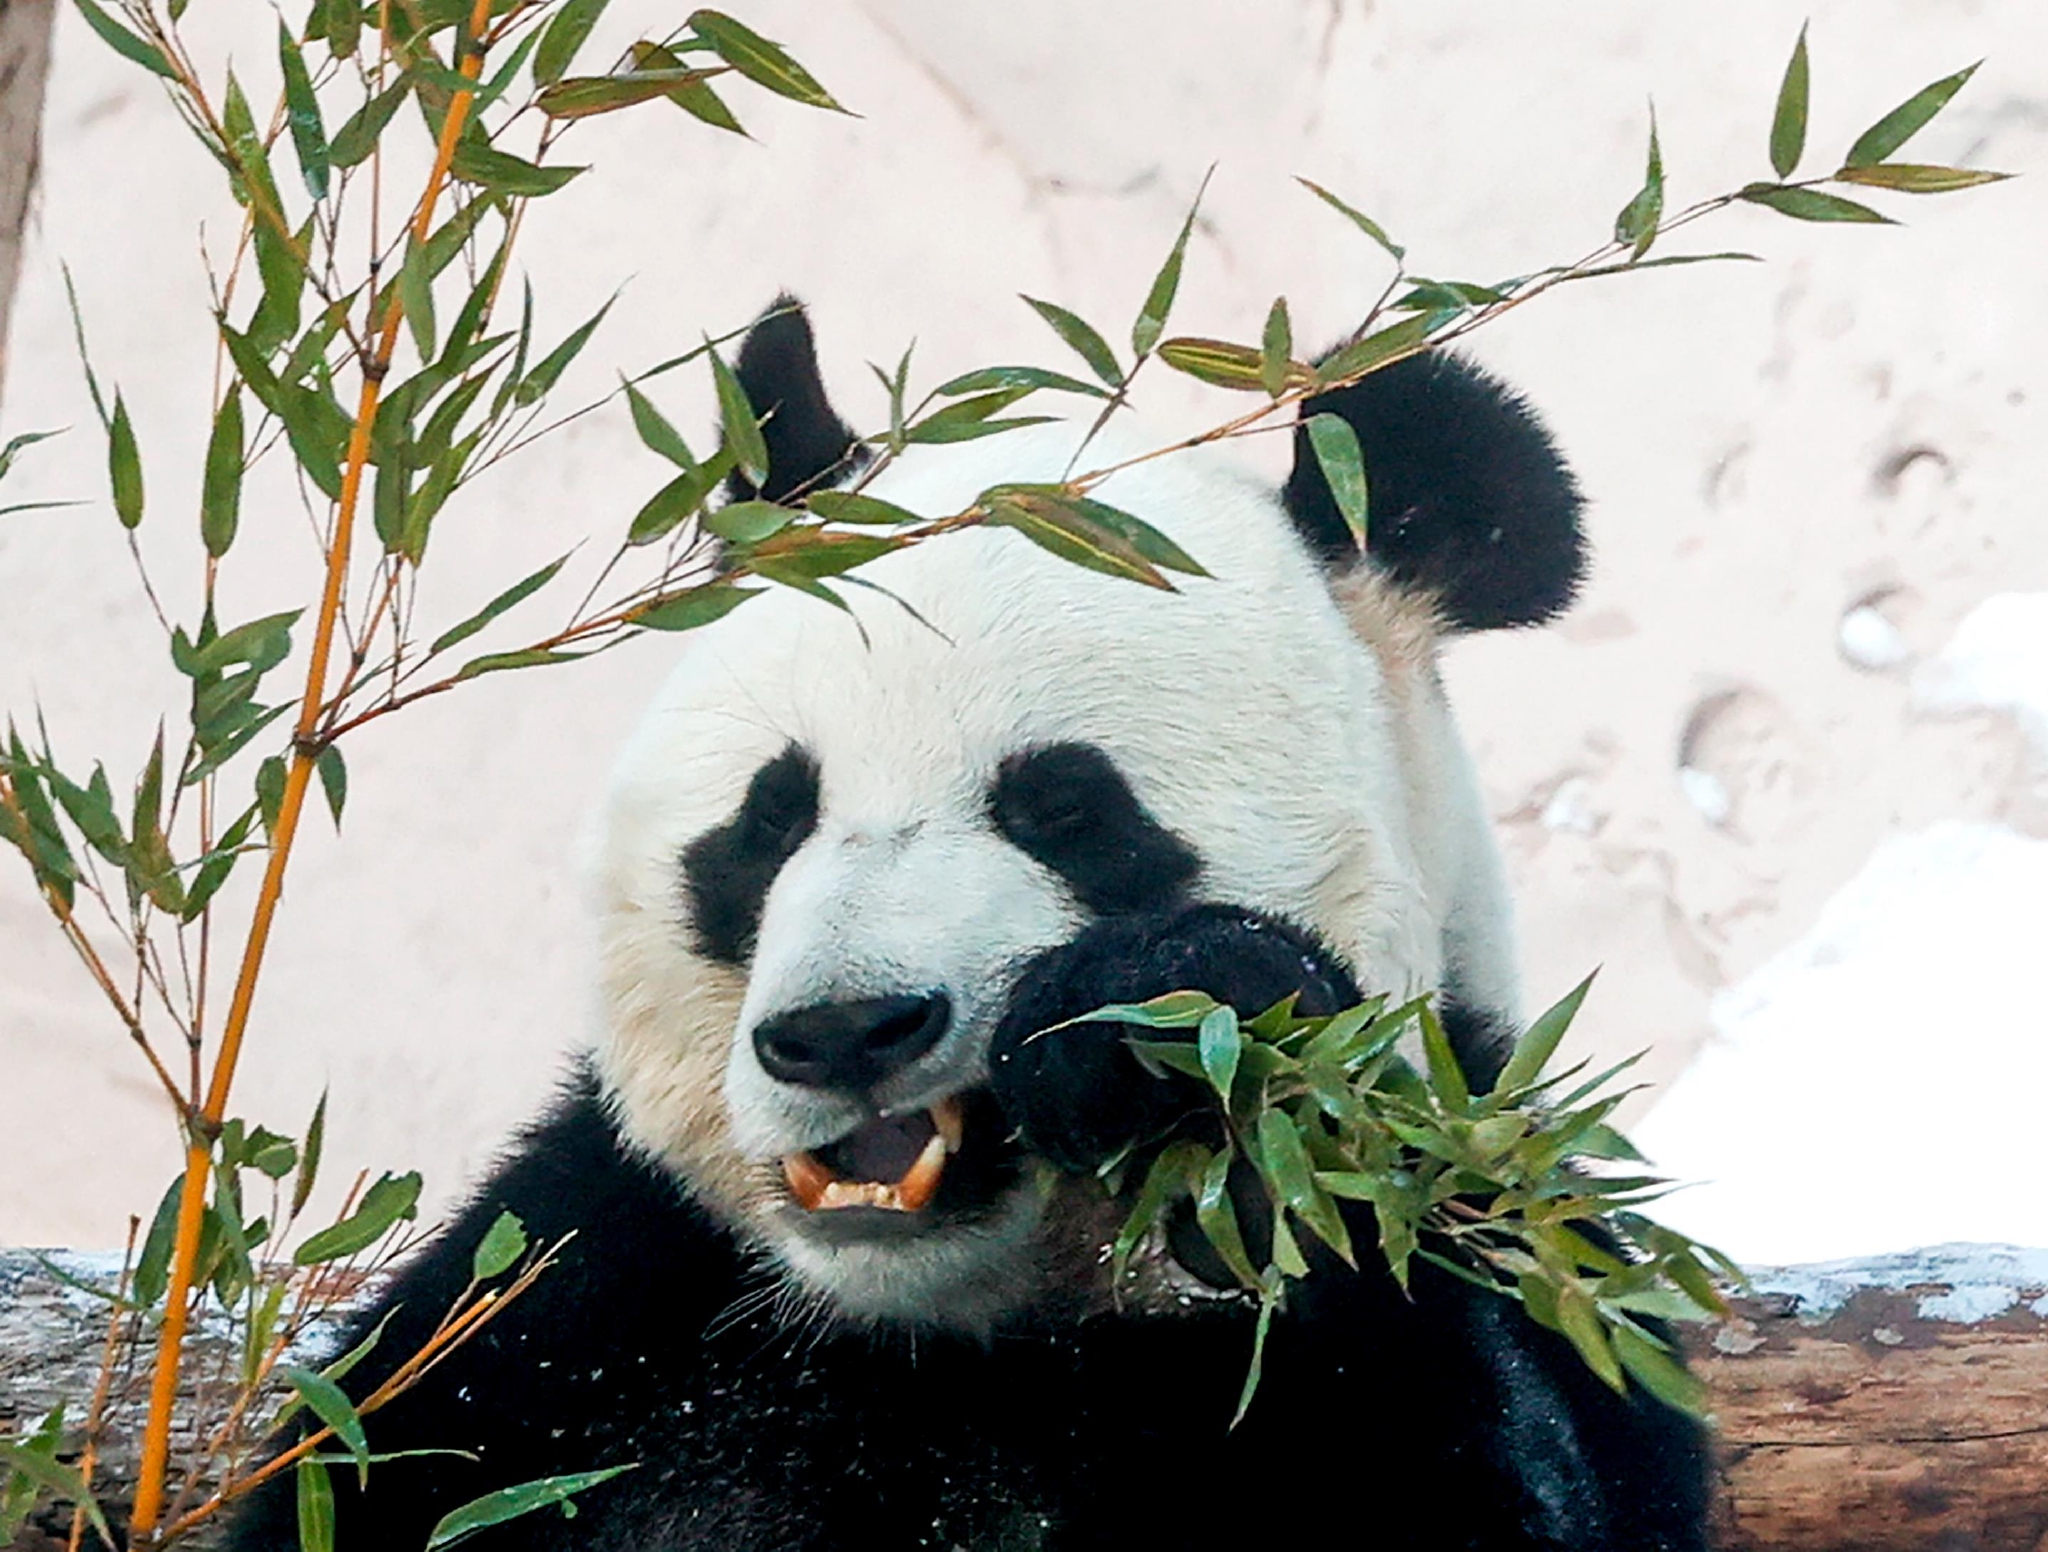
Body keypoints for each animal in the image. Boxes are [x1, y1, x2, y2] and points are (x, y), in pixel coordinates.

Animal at [224, 296, 1712, 1547]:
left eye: (1064, 808)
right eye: (770, 818)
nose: (845, 1031)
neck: (945, 1332)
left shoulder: (1494, 1214)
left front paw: (1165, 1050)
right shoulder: (582, 1308)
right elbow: (376, 1467)